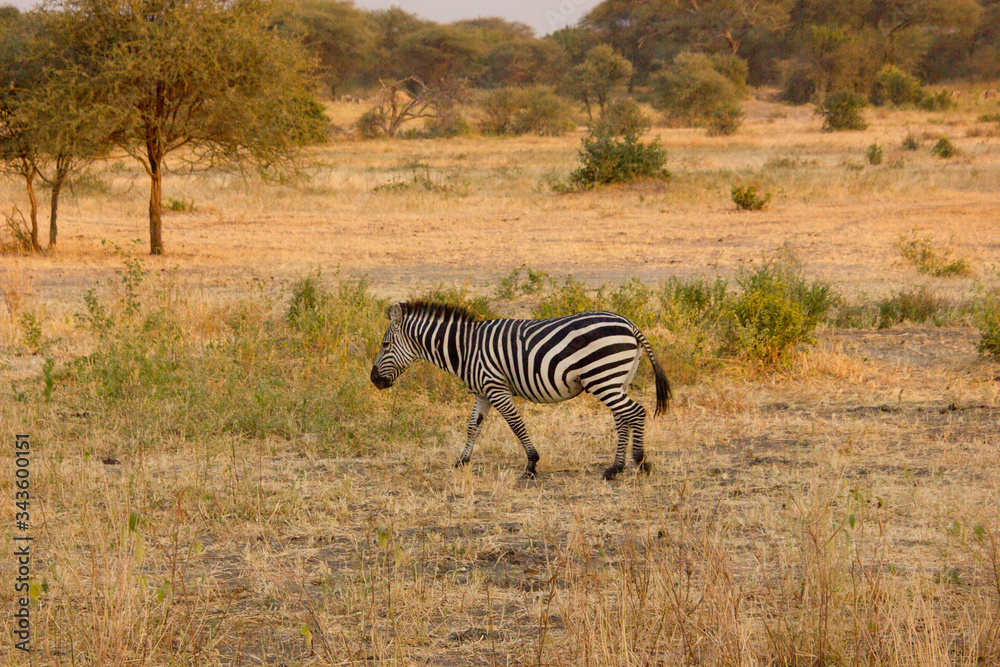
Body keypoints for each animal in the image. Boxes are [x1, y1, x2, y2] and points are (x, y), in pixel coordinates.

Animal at [370, 300, 671, 480]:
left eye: (385, 345)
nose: (374, 380)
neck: (465, 349)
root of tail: (629, 323)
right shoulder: (482, 392)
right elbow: (472, 426)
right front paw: (461, 461)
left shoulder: (496, 387)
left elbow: (516, 425)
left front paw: (531, 464)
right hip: (617, 379)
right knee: (622, 417)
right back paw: (615, 468)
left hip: (603, 376)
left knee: (635, 412)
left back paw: (640, 462)